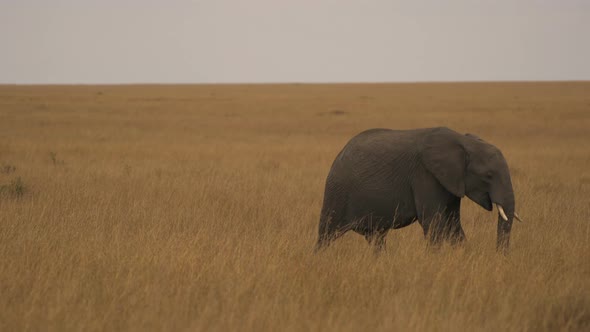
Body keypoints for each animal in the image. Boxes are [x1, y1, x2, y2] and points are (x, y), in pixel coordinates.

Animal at [316, 127, 524, 254]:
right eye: (488, 175)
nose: (500, 257)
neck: (463, 142)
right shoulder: (425, 175)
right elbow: (432, 222)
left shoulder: (450, 182)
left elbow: (453, 223)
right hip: (337, 192)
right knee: (326, 234)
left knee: (376, 237)